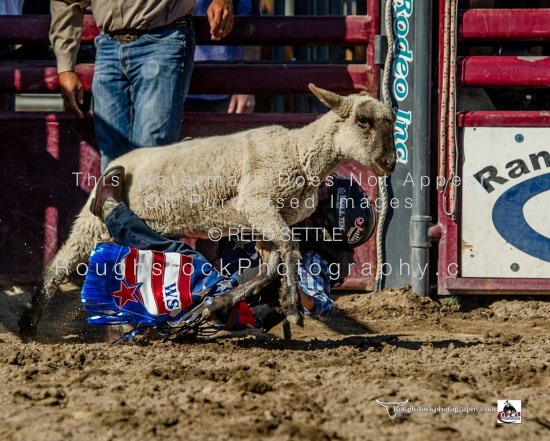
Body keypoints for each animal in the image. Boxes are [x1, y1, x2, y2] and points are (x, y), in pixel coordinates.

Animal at [20, 84, 396, 338]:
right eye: (363, 121)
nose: (390, 163)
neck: (298, 153)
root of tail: (121, 158)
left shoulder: (264, 222)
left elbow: (269, 267)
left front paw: (217, 304)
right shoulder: (257, 203)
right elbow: (289, 249)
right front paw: (292, 306)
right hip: (91, 222)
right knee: (59, 266)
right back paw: (29, 324)